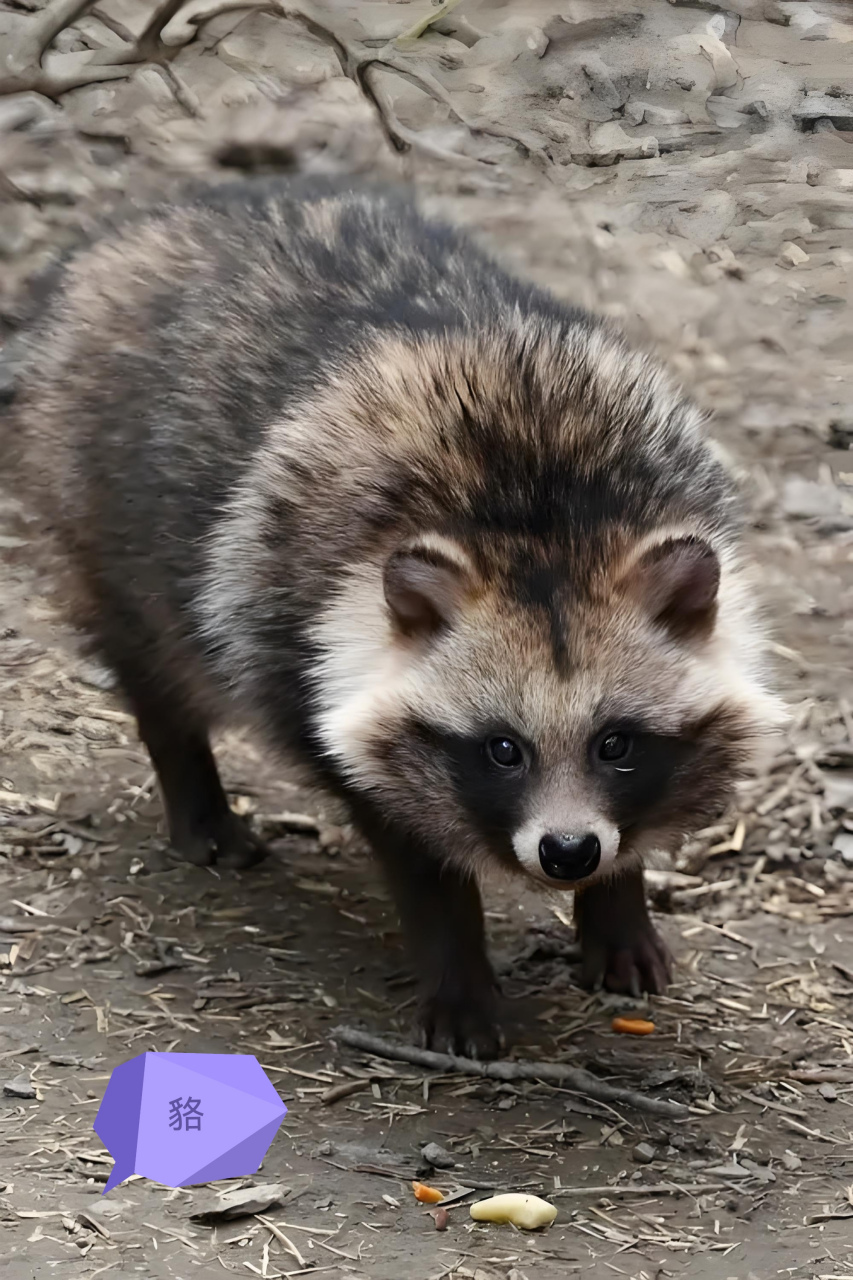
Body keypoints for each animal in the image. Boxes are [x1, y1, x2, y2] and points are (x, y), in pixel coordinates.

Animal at [13, 180, 778, 1059]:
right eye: (502, 749)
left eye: (615, 743)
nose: (568, 852)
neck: (540, 517)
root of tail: (135, 224)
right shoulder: (291, 634)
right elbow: (401, 833)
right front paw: (457, 966)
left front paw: (617, 904)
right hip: (93, 501)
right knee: (153, 658)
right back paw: (192, 786)